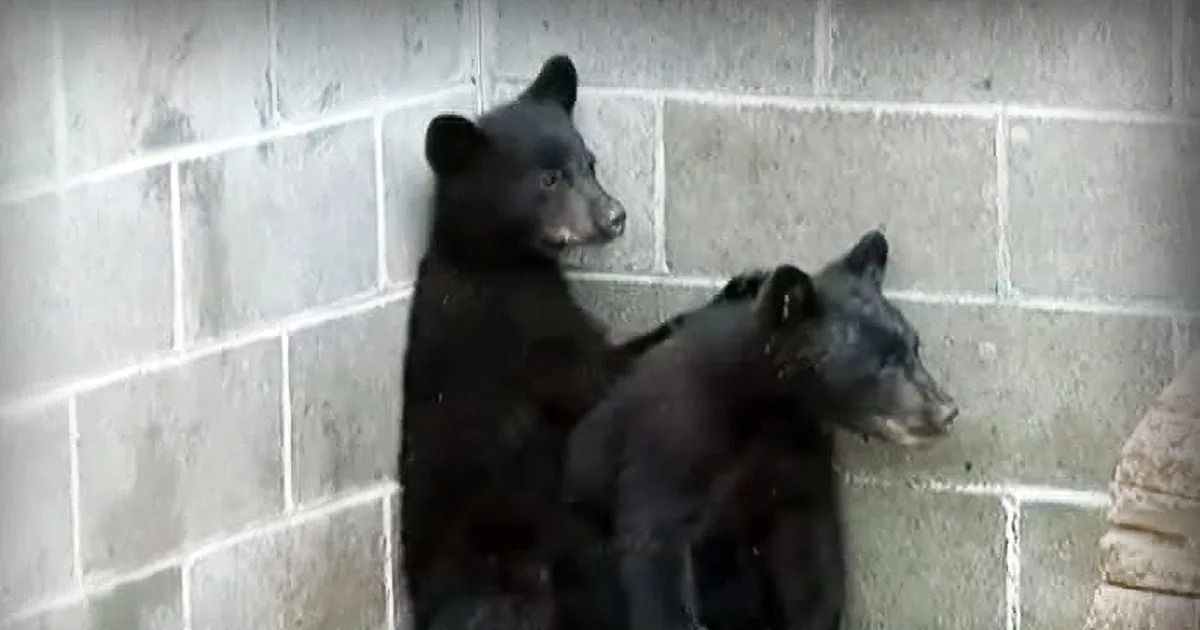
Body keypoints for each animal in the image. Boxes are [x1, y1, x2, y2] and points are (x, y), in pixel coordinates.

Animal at [398, 54, 765, 630]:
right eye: (549, 178)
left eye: (590, 163)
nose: (614, 216)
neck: (496, 262)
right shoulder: (520, 330)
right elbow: (593, 377)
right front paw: (737, 292)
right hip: (506, 548)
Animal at [561, 230, 960, 630]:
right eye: (881, 364)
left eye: (914, 347)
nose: (945, 411)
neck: (768, 407)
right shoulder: (670, 445)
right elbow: (657, 553)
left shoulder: (797, 461)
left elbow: (808, 553)